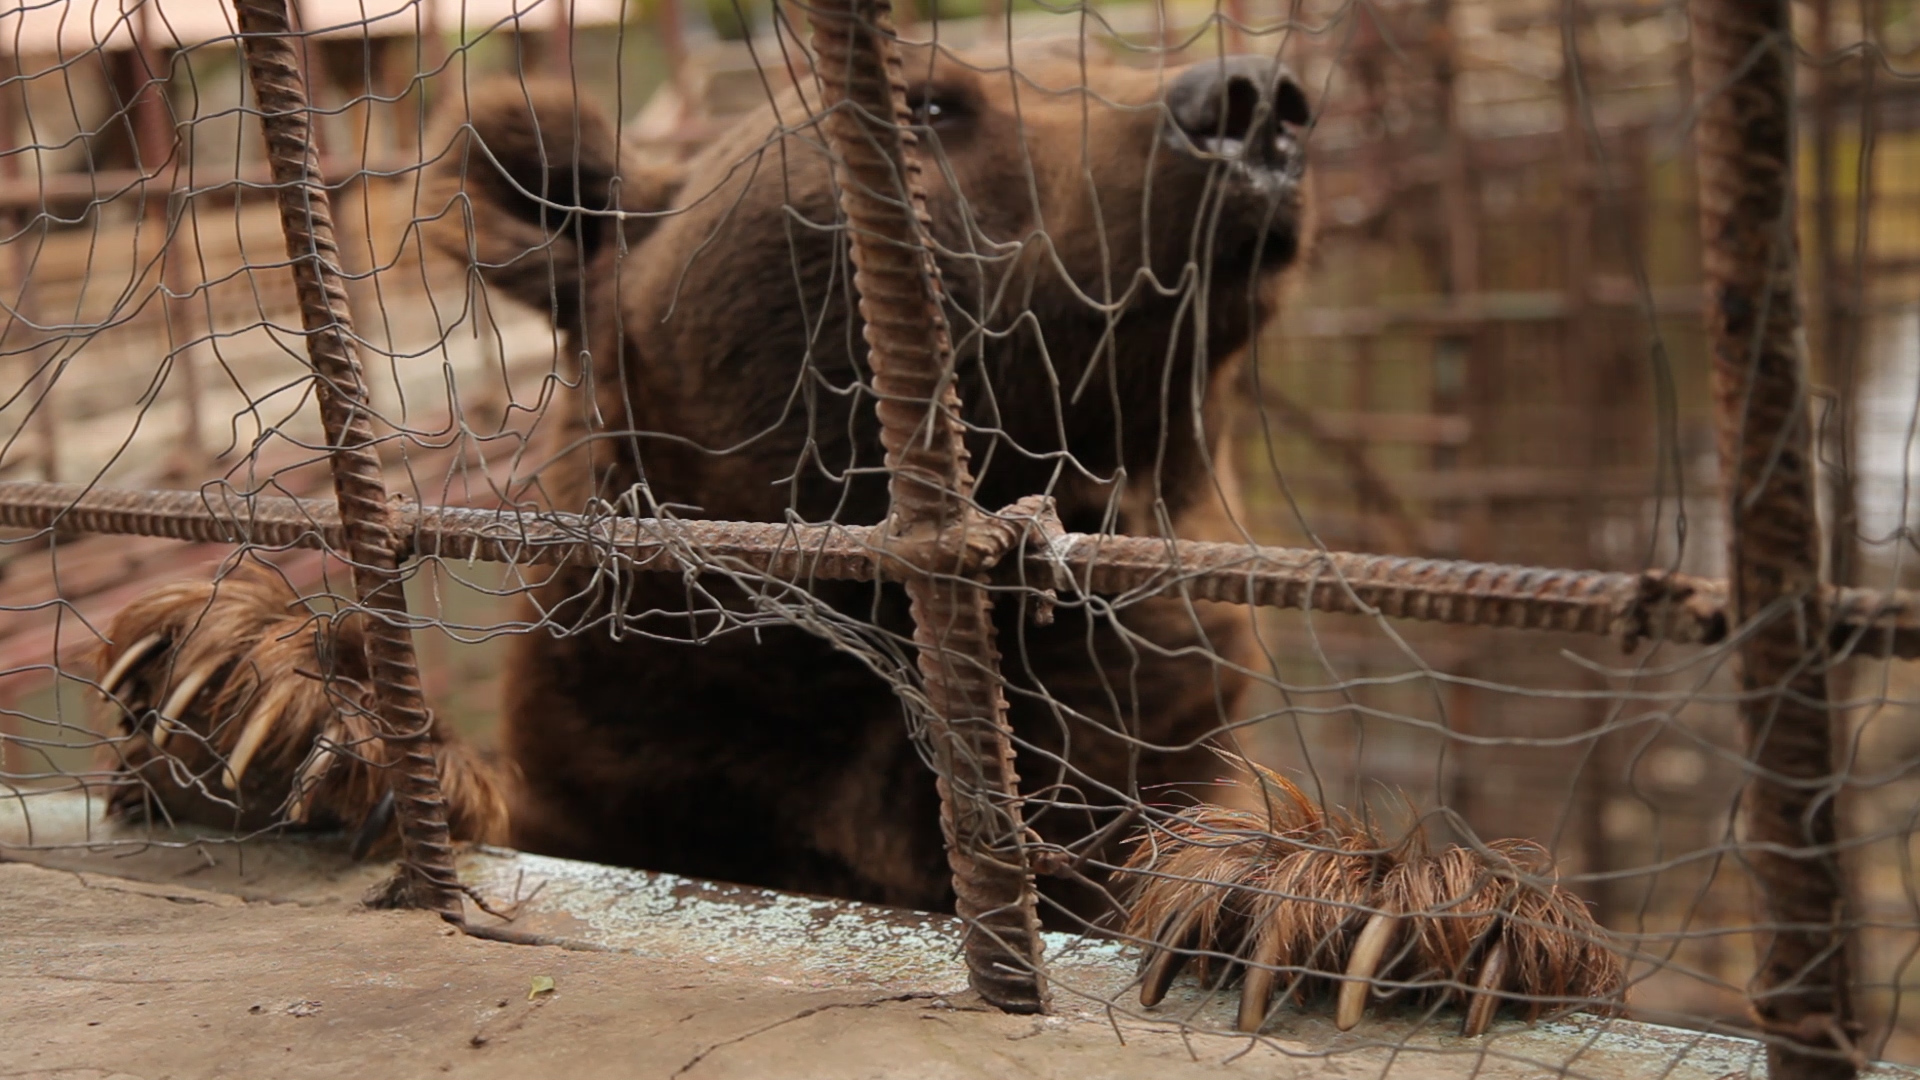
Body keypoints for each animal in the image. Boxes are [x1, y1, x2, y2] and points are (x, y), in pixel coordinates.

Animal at [93, 39, 1320, 914]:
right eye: (932, 102)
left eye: (1112, 49)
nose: (1253, 99)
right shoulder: (644, 762)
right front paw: (251, 694)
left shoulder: (1136, 735)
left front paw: (1285, 896)